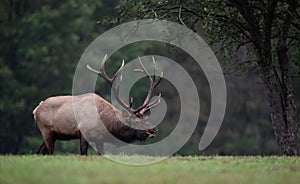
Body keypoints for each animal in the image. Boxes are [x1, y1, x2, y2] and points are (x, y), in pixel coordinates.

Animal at [33, 55, 163, 155]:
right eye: (137, 121)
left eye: (146, 118)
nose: (154, 129)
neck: (106, 123)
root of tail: (36, 109)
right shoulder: (83, 133)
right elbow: (83, 154)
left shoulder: (100, 139)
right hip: (46, 130)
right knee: (50, 152)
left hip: (52, 135)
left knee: (40, 152)